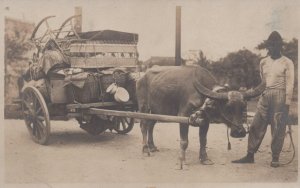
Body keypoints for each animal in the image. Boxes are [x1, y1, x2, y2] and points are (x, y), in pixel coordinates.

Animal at [136, 65, 264, 165]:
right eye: (228, 108)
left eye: (243, 106)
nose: (239, 132)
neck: (203, 97)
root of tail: (141, 77)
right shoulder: (183, 116)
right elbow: (184, 141)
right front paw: (182, 160)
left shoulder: (205, 121)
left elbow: (203, 140)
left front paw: (205, 159)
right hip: (143, 106)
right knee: (143, 125)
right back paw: (145, 149)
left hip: (156, 110)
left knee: (151, 125)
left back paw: (152, 147)